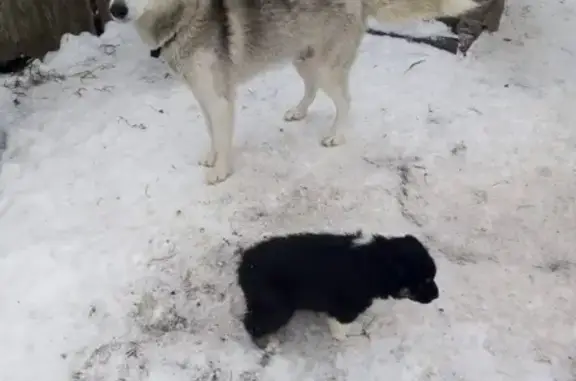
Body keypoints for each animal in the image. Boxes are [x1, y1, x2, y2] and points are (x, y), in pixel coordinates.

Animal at [236, 232, 438, 348]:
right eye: (426, 280)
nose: (437, 295)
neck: (376, 263)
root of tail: (245, 262)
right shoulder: (346, 307)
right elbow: (341, 327)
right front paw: (347, 336)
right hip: (276, 307)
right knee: (251, 323)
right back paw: (267, 344)